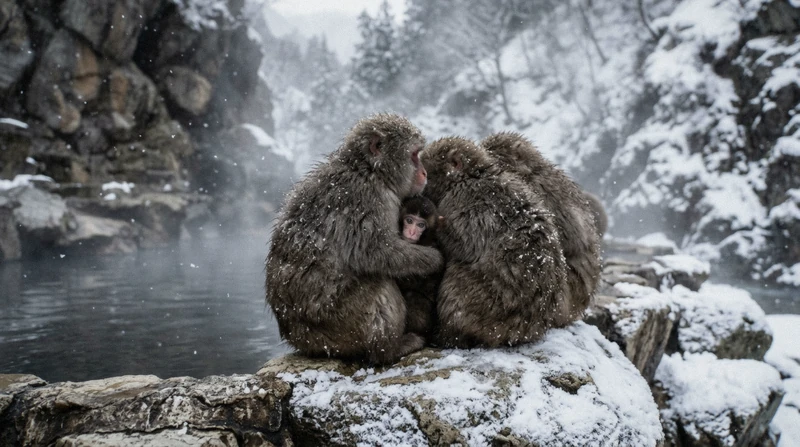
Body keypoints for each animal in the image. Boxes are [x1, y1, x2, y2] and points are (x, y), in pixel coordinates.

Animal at [421, 136, 572, 348]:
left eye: (427, 172)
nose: (421, 187)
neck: (470, 176)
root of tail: (521, 332)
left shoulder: (460, 199)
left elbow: (463, 246)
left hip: (486, 308)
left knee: (456, 283)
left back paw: (448, 336)